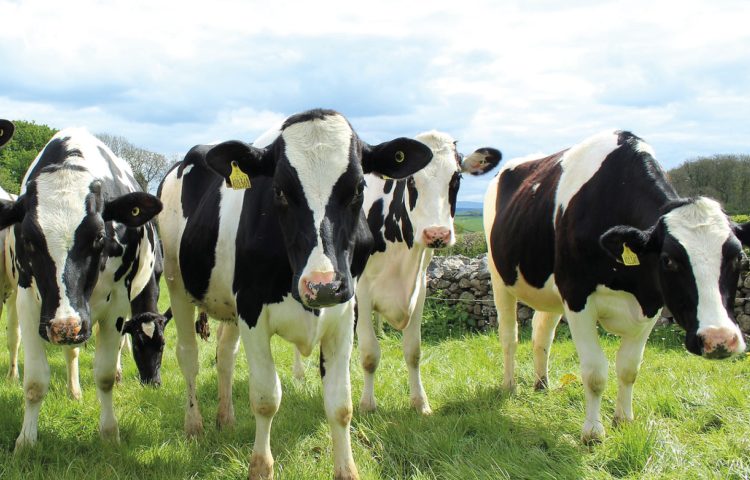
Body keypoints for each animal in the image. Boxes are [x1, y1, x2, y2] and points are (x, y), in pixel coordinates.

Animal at [0, 128, 164, 450]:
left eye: (99, 236)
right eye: (28, 239)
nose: (65, 326)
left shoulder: (116, 307)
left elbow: (104, 375)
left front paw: (110, 434)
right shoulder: (29, 303)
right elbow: (35, 380)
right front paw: (25, 441)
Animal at [159, 109, 434, 480]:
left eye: (358, 188)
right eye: (279, 191)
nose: (322, 284)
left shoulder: (345, 313)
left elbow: (340, 404)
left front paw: (347, 470)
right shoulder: (252, 312)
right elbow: (266, 398)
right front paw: (260, 468)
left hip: (227, 304)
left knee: (225, 355)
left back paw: (225, 418)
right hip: (176, 282)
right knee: (188, 355)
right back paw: (194, 425)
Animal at [484, 129, 748, 444]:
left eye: (739, 257)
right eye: (669, 260)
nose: (719, 339)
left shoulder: (651, 303)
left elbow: (629, 368)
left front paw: (624, 420)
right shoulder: (577, 296)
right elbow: (595, 372)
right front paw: (593, 433)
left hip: (550, 292)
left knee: (541, 334)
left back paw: (542, 384)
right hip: (500, 279)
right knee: (509, 337)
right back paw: (510, 385)